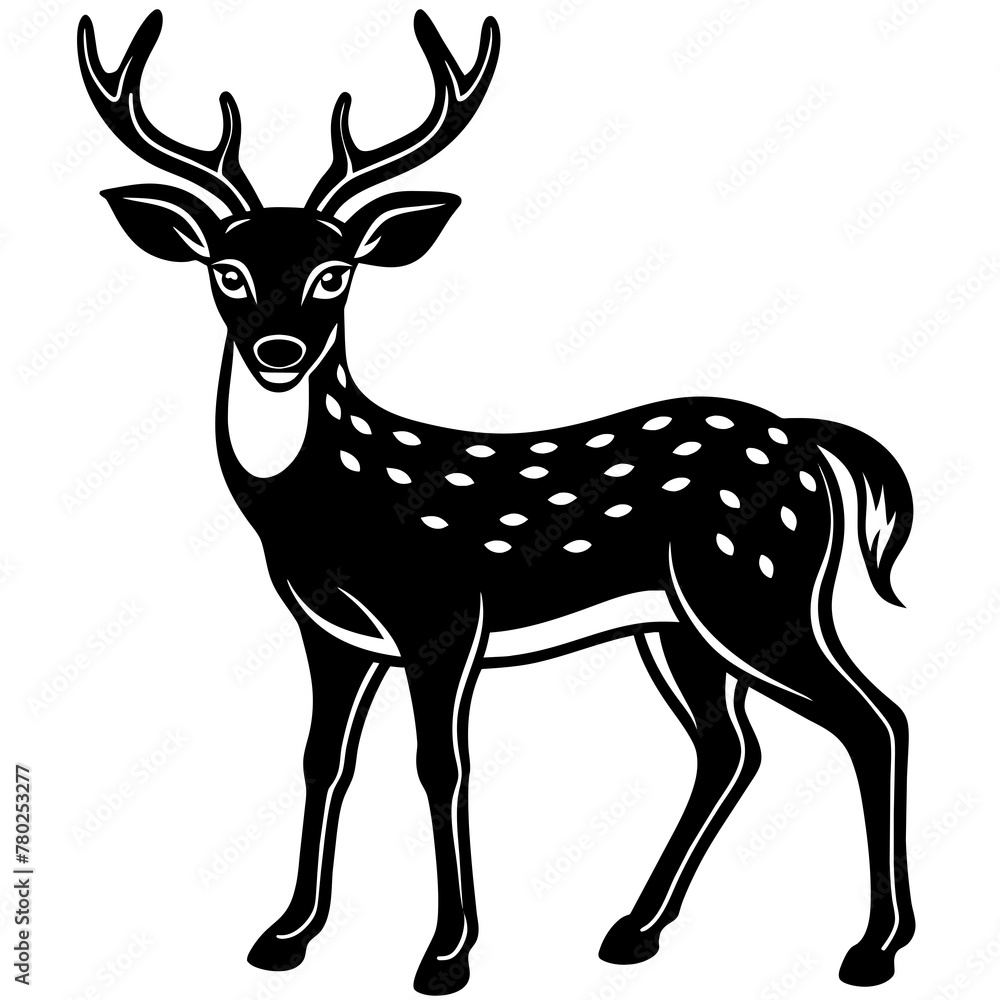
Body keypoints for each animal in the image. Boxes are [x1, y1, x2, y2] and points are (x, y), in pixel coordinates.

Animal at [79, 8, 916, 994]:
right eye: (226, 270)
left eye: (335, 273)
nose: (279, 351)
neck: (323, 512)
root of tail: (810, 439)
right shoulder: (330, 632)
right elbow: (323, 761)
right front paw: (285, 936)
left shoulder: (442, 616)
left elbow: (441, 766)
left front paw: (445, 954)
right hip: (680, 624)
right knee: (731, 748)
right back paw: (636, 929)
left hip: (759, 589)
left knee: (875, 720)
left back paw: (872, 948)